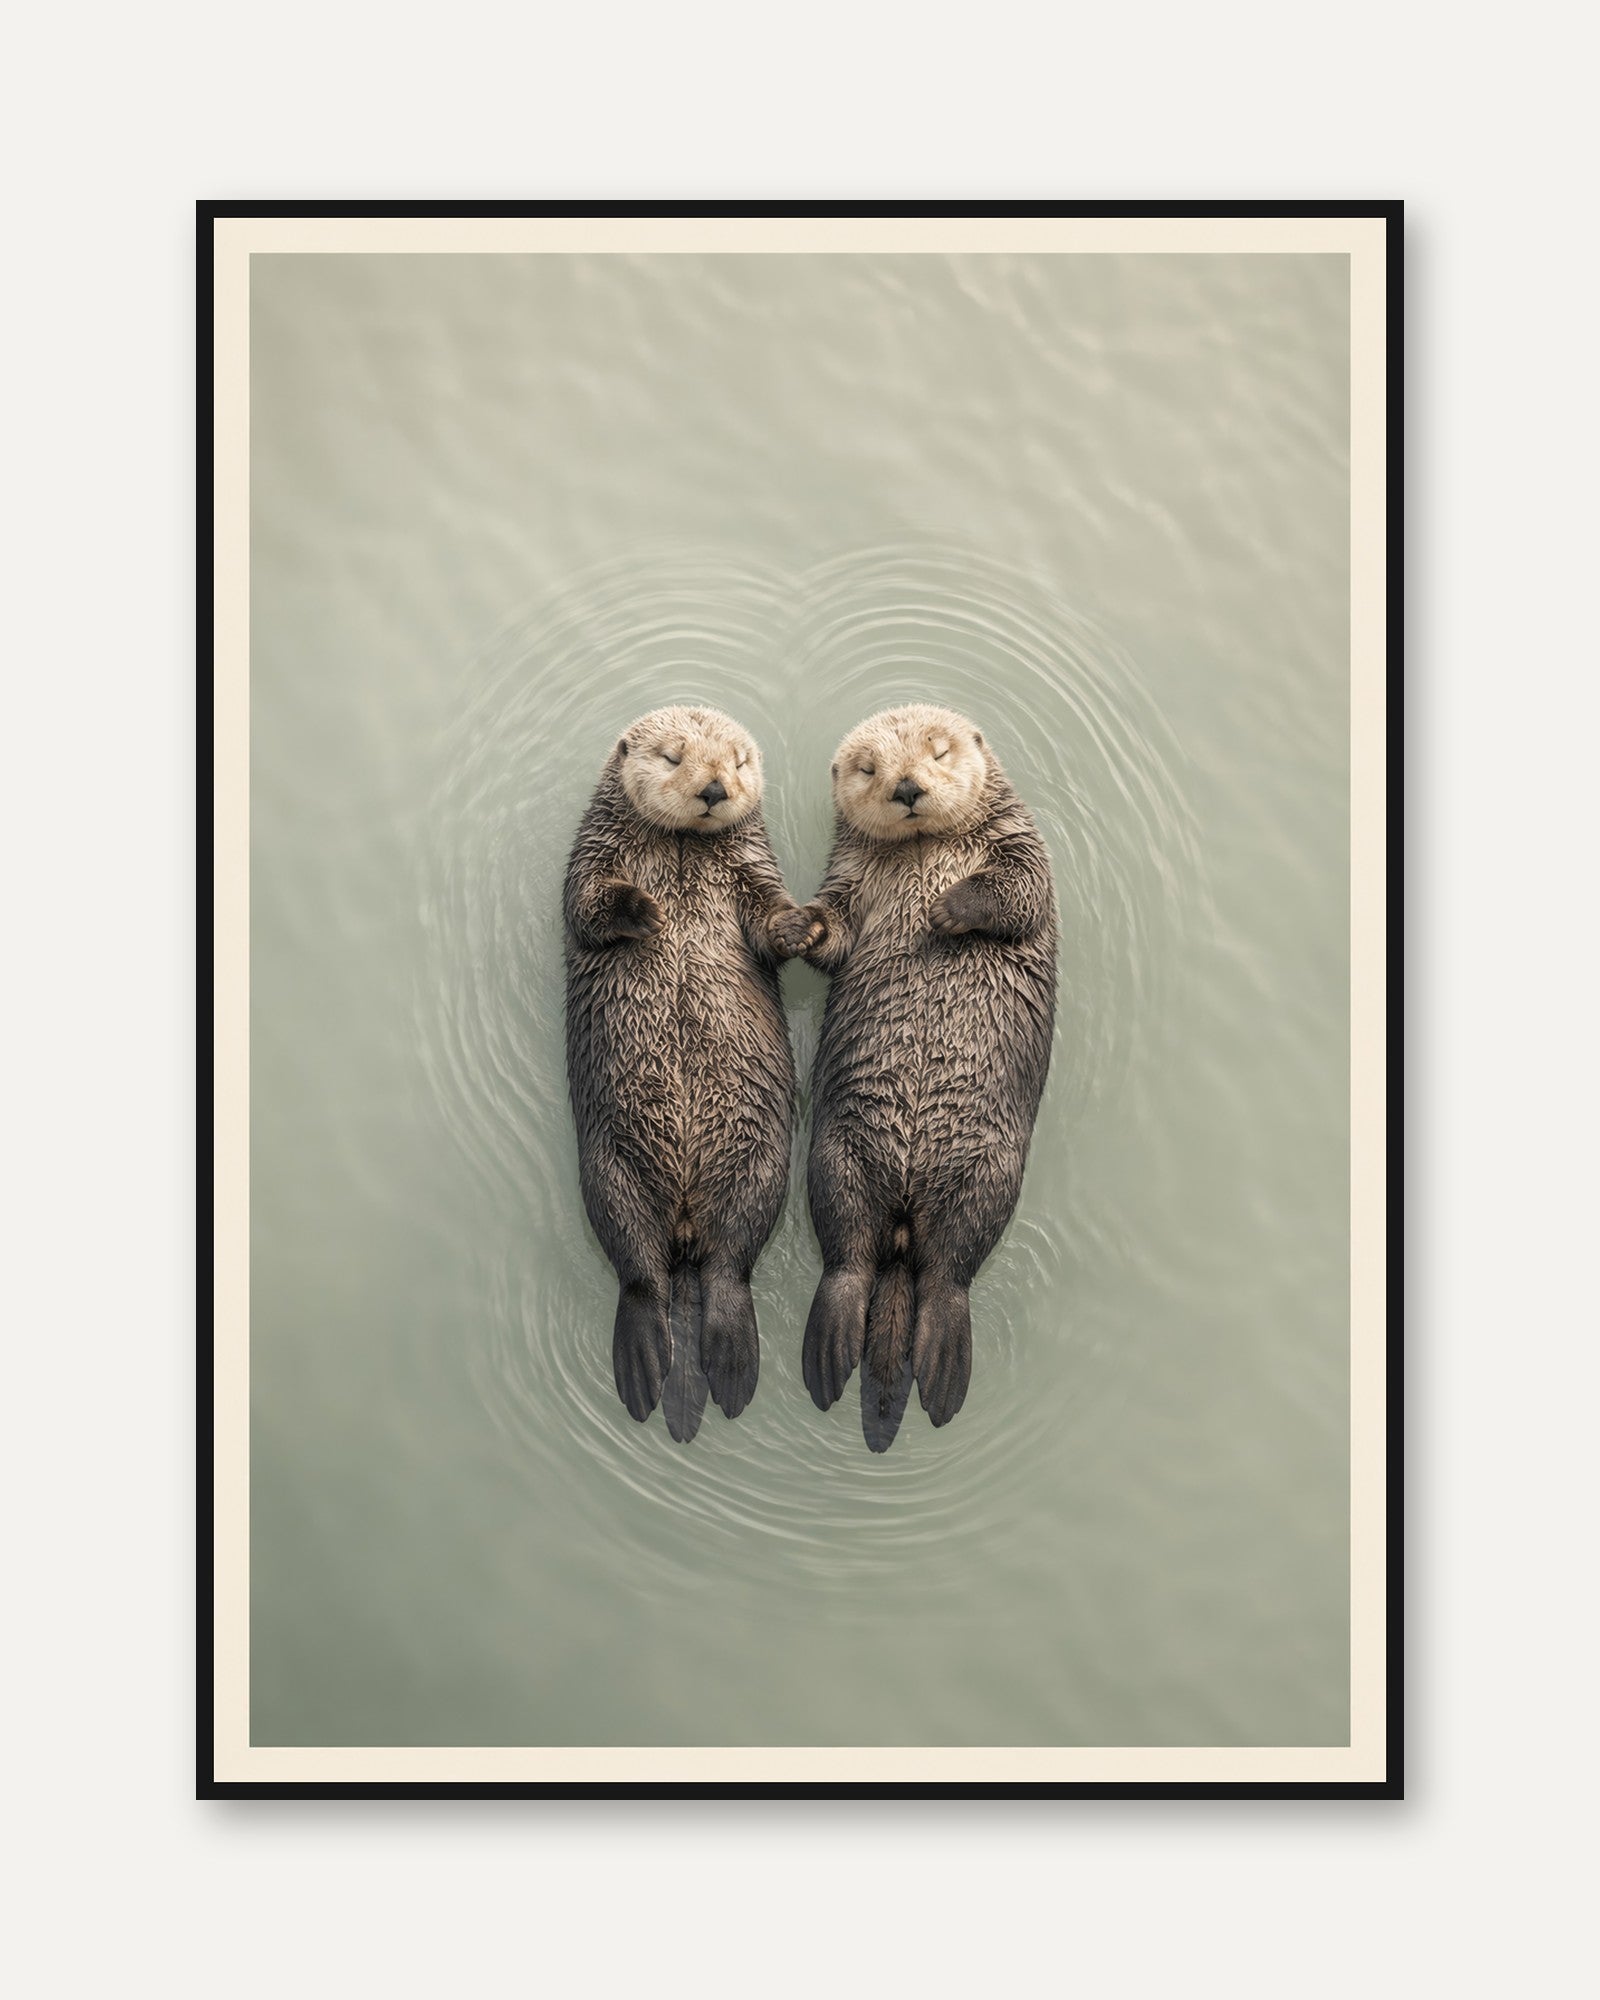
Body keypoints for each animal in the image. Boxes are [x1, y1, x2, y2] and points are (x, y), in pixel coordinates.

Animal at [564, 705, 799, 1440]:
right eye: (672, 757)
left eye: (738, 762)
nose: (715, 789)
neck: (679, 852)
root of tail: (687, 1231)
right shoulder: (592, 858)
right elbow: (589, 905)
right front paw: (645, 910)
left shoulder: (755, 872)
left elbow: (770, 920)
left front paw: (806, 926)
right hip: (607, 1172)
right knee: (640, 1274)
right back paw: (650, 1370)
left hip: (762, 1168)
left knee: (728, 1266)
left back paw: (722, 1369)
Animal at [773, 704, 1057, 1452]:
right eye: (870, 767)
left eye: (938, 751)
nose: (905, 787)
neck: (927, 853)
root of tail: (903, 1226)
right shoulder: (847, 877)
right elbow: (837, 929)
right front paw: (801, 926)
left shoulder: (1021, 847)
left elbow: (1017, 891)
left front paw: (948, 909)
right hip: (836, 1155)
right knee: (850, 1255)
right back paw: (833, 1354)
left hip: (988, 1174)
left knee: (950, 1272)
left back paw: (935, 1371)